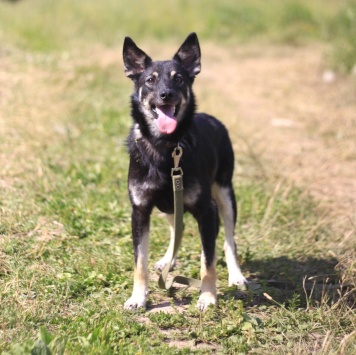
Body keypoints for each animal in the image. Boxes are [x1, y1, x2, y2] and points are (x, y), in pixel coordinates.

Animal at [122, 33, 248, 312]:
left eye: (178, 78)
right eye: (150, 80)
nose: (166, 94)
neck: (165, 147)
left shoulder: (206, 209)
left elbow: (208, 263)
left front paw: (208, 297)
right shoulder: (140, 210)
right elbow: (139, 262)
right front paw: (138, 298)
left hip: (225, 194)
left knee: (228, 241)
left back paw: (236, 275)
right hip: (169, 204)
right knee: (175, 230)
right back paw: (167, 260)